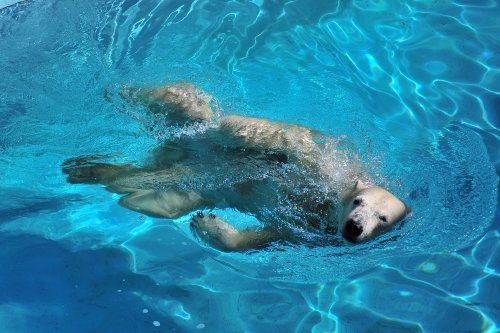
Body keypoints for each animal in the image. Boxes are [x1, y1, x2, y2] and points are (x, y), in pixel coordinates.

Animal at [61, 81, 410, 250]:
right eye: (358, 201)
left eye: (382, 217)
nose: (353, 227)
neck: (325, 202)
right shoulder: (321, 166)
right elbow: (281, 139)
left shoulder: (306, 232)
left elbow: (257, 239)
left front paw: (208, 225)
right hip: (185, 131)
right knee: (185, 101)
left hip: (181, 179)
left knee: (161, 197)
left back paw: (91, 173)